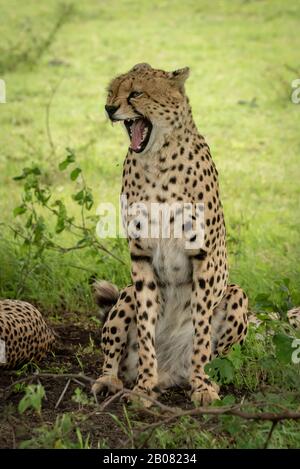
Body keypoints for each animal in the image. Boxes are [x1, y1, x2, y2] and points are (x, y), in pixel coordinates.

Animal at [91, 63, 248, 406]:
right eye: (111, 92)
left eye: (136, 93)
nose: (109, 108)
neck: (157, 161)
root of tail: (171, 371)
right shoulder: (141, 256)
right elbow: (146, 326)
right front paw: (143, 387)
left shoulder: (204, 257)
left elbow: (201, 330)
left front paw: (201, 386)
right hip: (125, 295)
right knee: (112, 353)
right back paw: (112, 380)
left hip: (236, 294)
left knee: (218, 355)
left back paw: (202, 378)